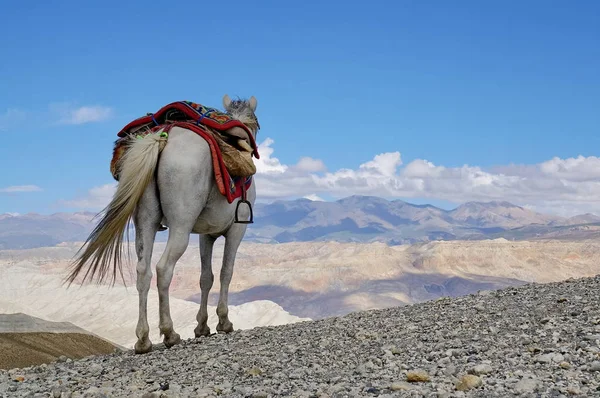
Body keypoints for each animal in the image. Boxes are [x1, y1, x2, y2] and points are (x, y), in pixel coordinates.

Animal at [65, 95, 260, 352]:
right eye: (258, 124)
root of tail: (163, 137)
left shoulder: (206, 235)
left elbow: (206, 277)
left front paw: (202, 326)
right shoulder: (236, 230)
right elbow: (225, 272)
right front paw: (224, 322)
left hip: (145, 221)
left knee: (143, 271)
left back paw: (143, 339)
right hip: (180, 227)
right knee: (163, 268)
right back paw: (169, 333)